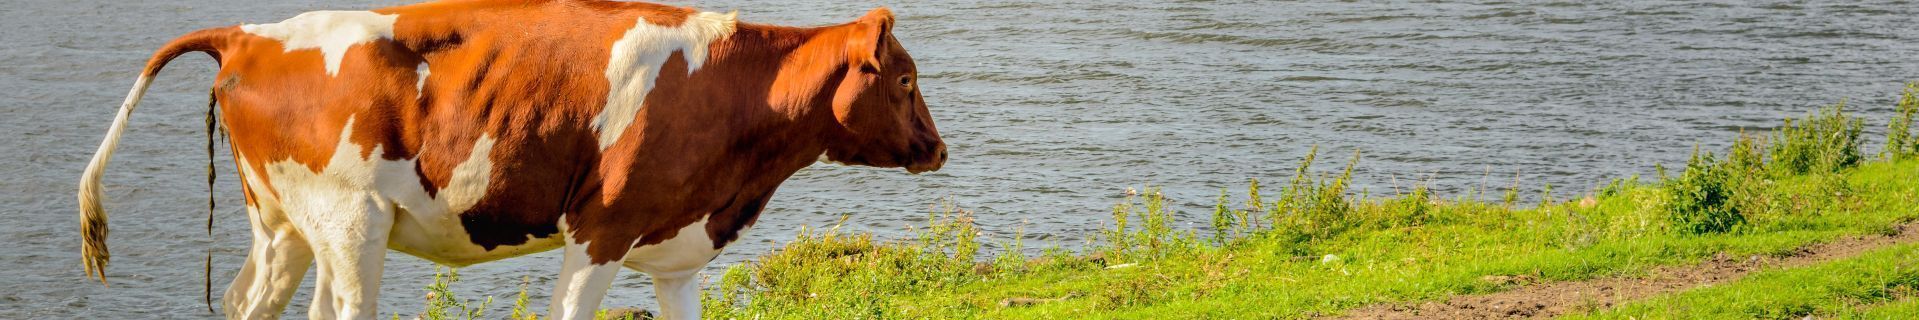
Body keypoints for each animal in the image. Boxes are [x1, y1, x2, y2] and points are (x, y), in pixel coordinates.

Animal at [74, 1, 944, 318]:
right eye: (904, 78)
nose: (937, 149)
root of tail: (248, 34)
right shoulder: (600, 229)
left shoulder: (678, 248)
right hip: (351, 224)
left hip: (286, 227)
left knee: (253, 304)